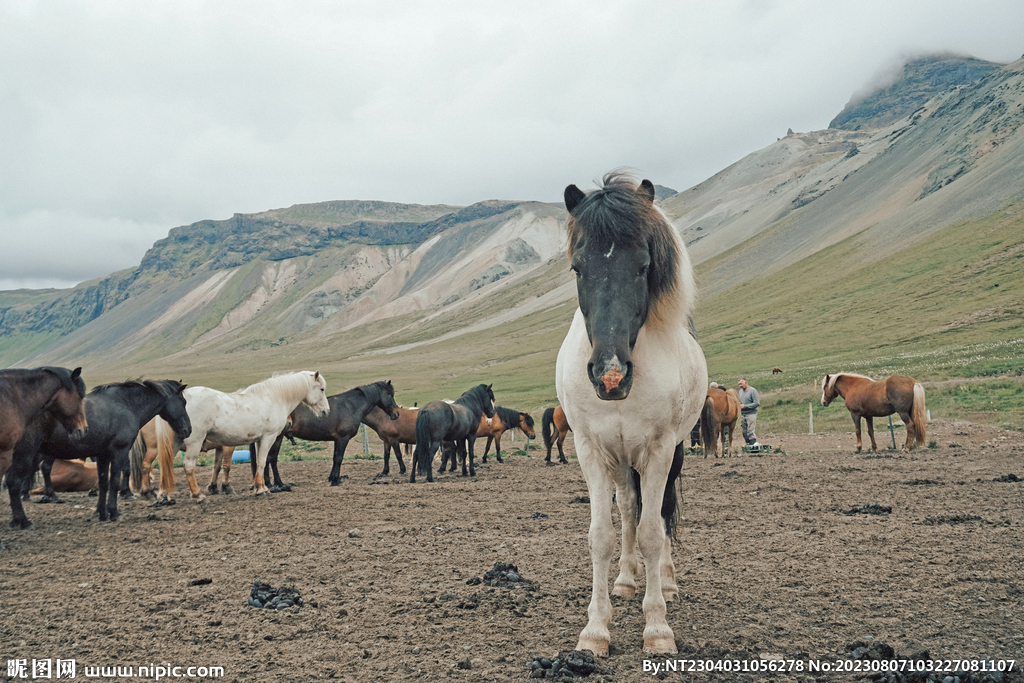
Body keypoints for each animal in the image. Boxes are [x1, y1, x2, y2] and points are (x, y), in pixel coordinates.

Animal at [6, 378, 189, 528]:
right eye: (183, 401)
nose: (188, 429)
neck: (126, 405)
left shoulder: (102, 455)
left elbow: (103, 483)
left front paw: (101, 512)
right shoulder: (119, 452)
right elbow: (114, 481)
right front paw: (114, 512)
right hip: (26, 453)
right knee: (15, 482)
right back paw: (23, 520)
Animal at [165, 370, 327, 499]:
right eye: (322, 389)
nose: (326, 411)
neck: (273, 398)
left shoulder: (258, 440)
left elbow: (259, 463)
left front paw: (261, 487)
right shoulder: (268, 438)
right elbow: (262, 461)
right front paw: (260, 489)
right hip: (194, 442)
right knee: (188, 465)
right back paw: (197, 495)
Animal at [557, 172, 708, 655]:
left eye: (643, 266)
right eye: (578, 268)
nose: (610, 375)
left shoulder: (660, 450)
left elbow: (652, 532)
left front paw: (657, 627)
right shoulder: (589, 449)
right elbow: (601, 535)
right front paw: (595, 629)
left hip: (671, 452)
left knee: (659, 514)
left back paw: (667, 583)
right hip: (621, 460)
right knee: (627, 506)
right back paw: (625, 580)